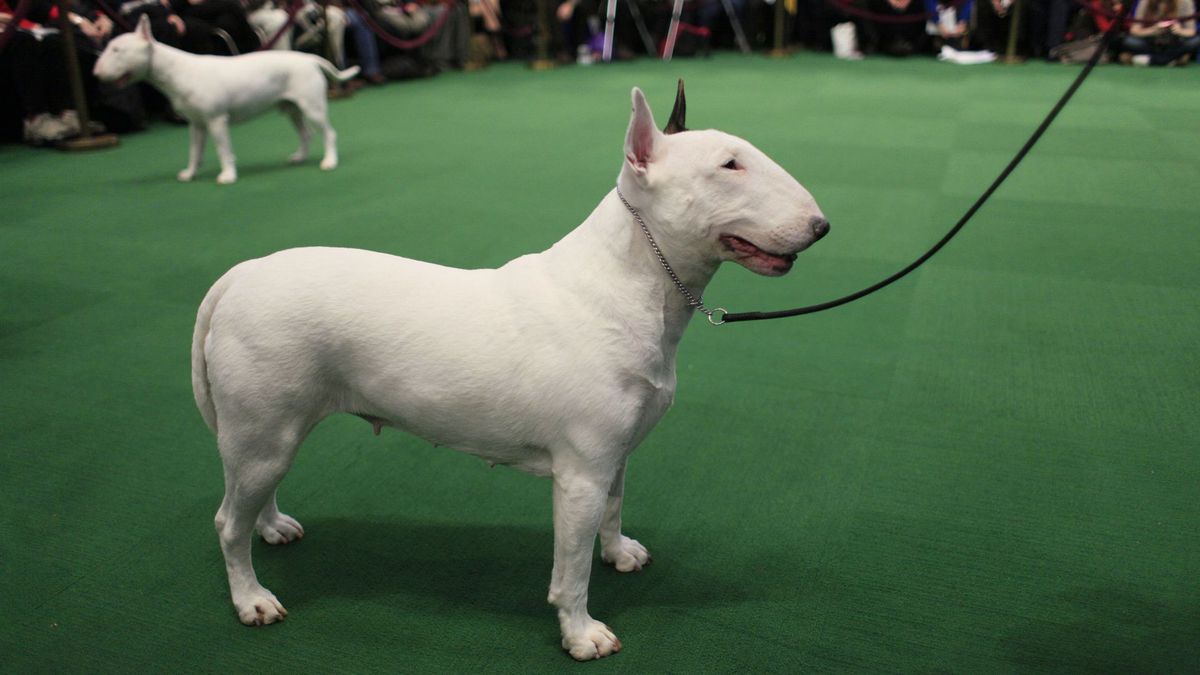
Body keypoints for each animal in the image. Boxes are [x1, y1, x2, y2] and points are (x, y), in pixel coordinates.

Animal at [93, 15, 358, 184]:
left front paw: (227, 176)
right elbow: (194, 151)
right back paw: (299, 157)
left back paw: (329, 161)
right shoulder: (197, 124)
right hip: (291, 108)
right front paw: (189, 173)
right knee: (306, 134)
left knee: (328, 134)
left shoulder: (216, 120)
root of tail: (309, 58)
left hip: (312, 107)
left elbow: (223, 149)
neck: (176, 71)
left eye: (117, 50)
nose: (96, 74)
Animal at [191, 83, 829, 660]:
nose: (821, 226)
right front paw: (581, 634)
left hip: (271, 432)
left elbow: (616, 505)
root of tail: (239, 276)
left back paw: (273, 526)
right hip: (263, 427)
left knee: (256, 491)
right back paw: (251, 598)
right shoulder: (580, 476)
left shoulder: (614, 455)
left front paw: (619, 553)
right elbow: (571, 569)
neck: (628, 283)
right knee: (227, 521)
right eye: (729, 165)